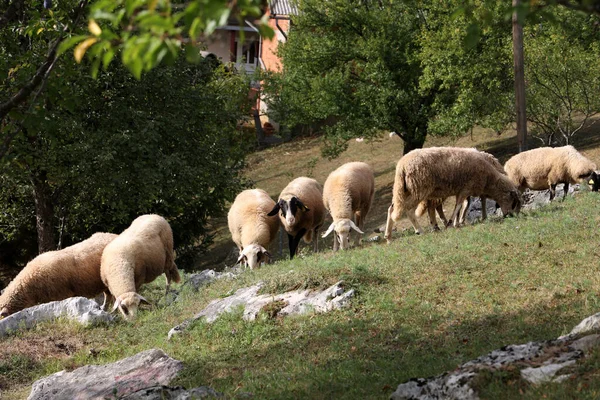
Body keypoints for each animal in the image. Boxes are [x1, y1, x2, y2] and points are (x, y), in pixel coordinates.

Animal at [384, 146, 520, 242]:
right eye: (513, 202)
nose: (510, 216)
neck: (489, 179)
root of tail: (401, 165)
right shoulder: (466, 188)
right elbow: (460, 205)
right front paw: (453, 223)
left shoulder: (465, 190)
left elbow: (465, 204)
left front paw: (458, 221)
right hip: (419, 189)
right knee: (410, 210)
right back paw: (420, 230)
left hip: (404, 190)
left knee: (392, 208)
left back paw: (389, 237)